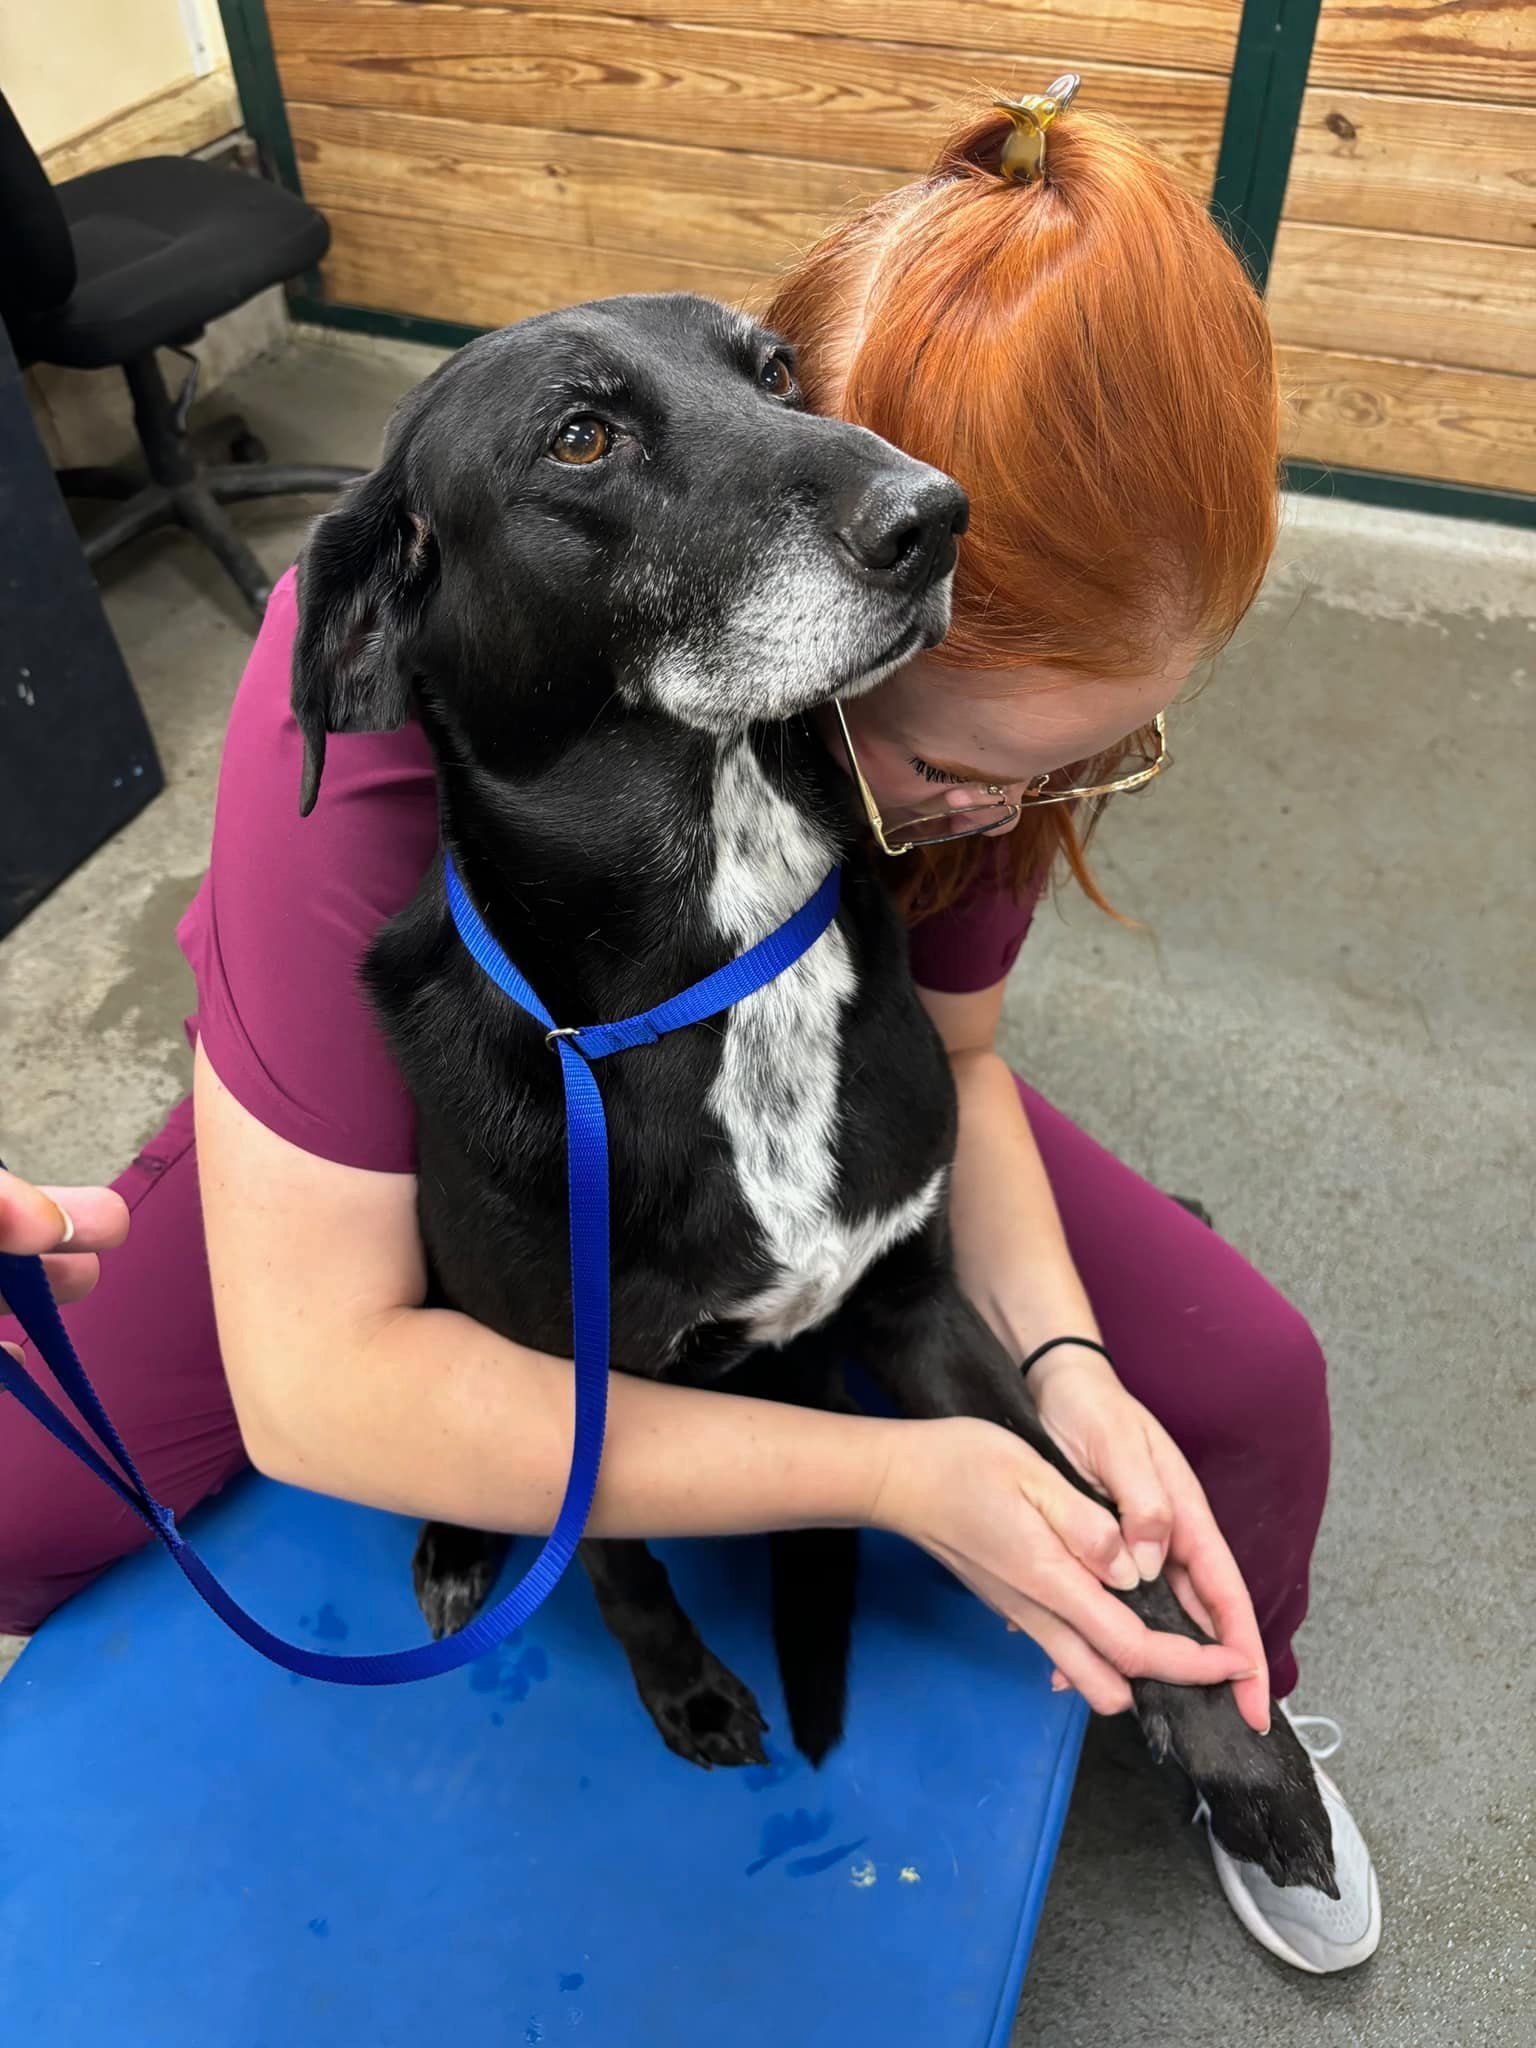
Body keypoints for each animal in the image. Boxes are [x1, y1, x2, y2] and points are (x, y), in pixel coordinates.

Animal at [294, 288, 1343, 1884]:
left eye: (777, 371)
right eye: (581, 437)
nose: (934, 516)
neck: (727, 956)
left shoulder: (916, 1302)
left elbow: (1093, 1515)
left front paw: (1243, 1753)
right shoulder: (569, 1394)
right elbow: (621, 1561)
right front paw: (681, 1687)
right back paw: (462, 1544)